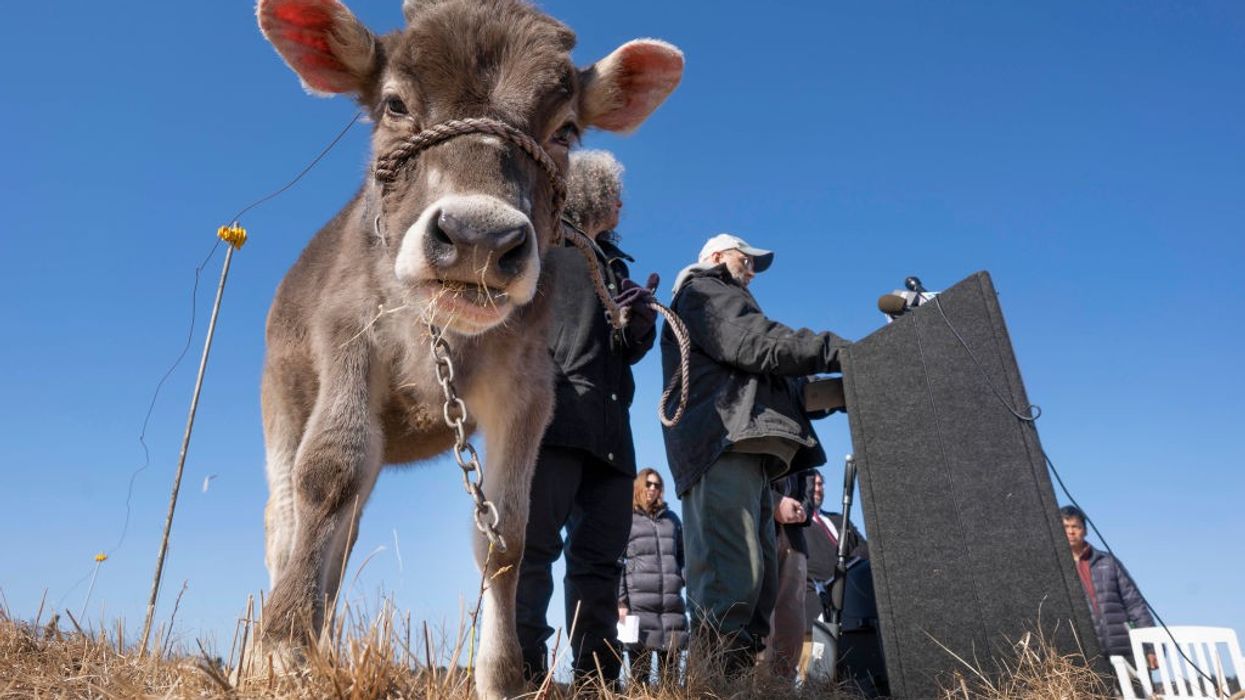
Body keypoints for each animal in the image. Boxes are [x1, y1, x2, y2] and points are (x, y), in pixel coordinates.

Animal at [253, 0, 682, 696]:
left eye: (565, 129)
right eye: (395, 104)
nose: (479, 237)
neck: (441, 336)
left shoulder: (528, 389)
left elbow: (509, 535)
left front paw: (502, 675)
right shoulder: (348, 335)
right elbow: (328, 473)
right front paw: (280, 649)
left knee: (346, 533)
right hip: (283, 397)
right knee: (288, 519)